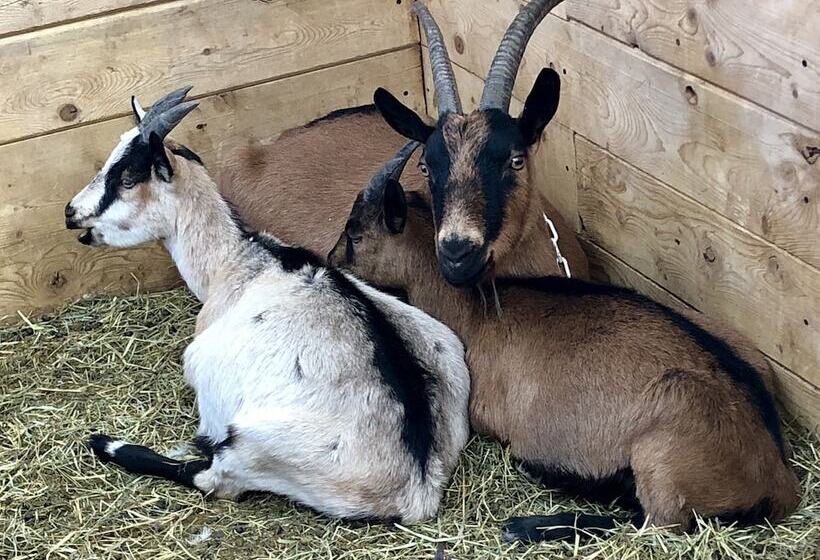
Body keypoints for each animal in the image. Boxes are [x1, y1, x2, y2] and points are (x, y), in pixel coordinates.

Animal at [64, 88, 471, 524]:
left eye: (126, 178)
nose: (71, 213)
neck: (235, 260)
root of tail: (418, 485)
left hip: (250, 444)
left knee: (212, 479)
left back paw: (107, 443)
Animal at [327, 152, 801, 542]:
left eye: (354, 231)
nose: (330, 260)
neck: (477, 310)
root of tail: (779, 477)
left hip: (663, 449)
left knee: (654, 524)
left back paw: (528, 525)